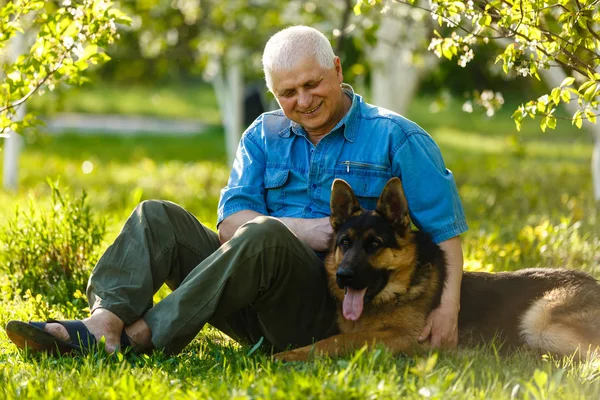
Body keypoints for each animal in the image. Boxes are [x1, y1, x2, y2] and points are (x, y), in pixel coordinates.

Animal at [274, 178, 600, 362]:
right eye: (344, 242)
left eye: (375, 244)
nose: (343, 277)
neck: (400, 290)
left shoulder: (400, 339)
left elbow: (339, 340)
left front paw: (290, 354)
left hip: (539, 320)